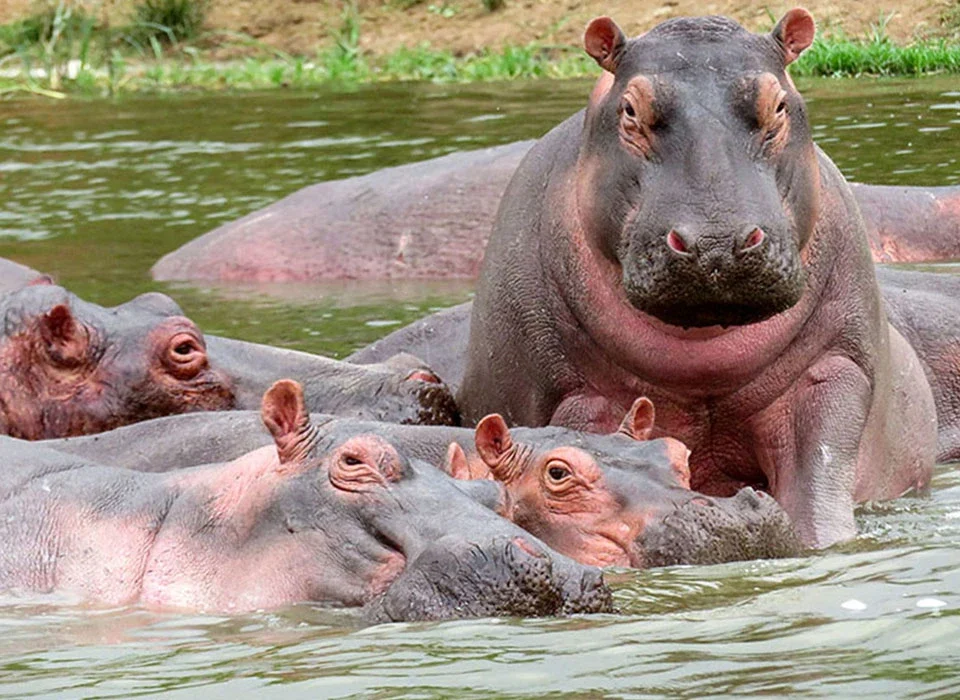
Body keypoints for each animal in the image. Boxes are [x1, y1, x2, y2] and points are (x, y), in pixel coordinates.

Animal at [457, 10, 937, 548]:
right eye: (630, 109)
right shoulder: (575, 395)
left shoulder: (834, 368)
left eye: (778, 104)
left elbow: (817, 481)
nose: (715, 242)